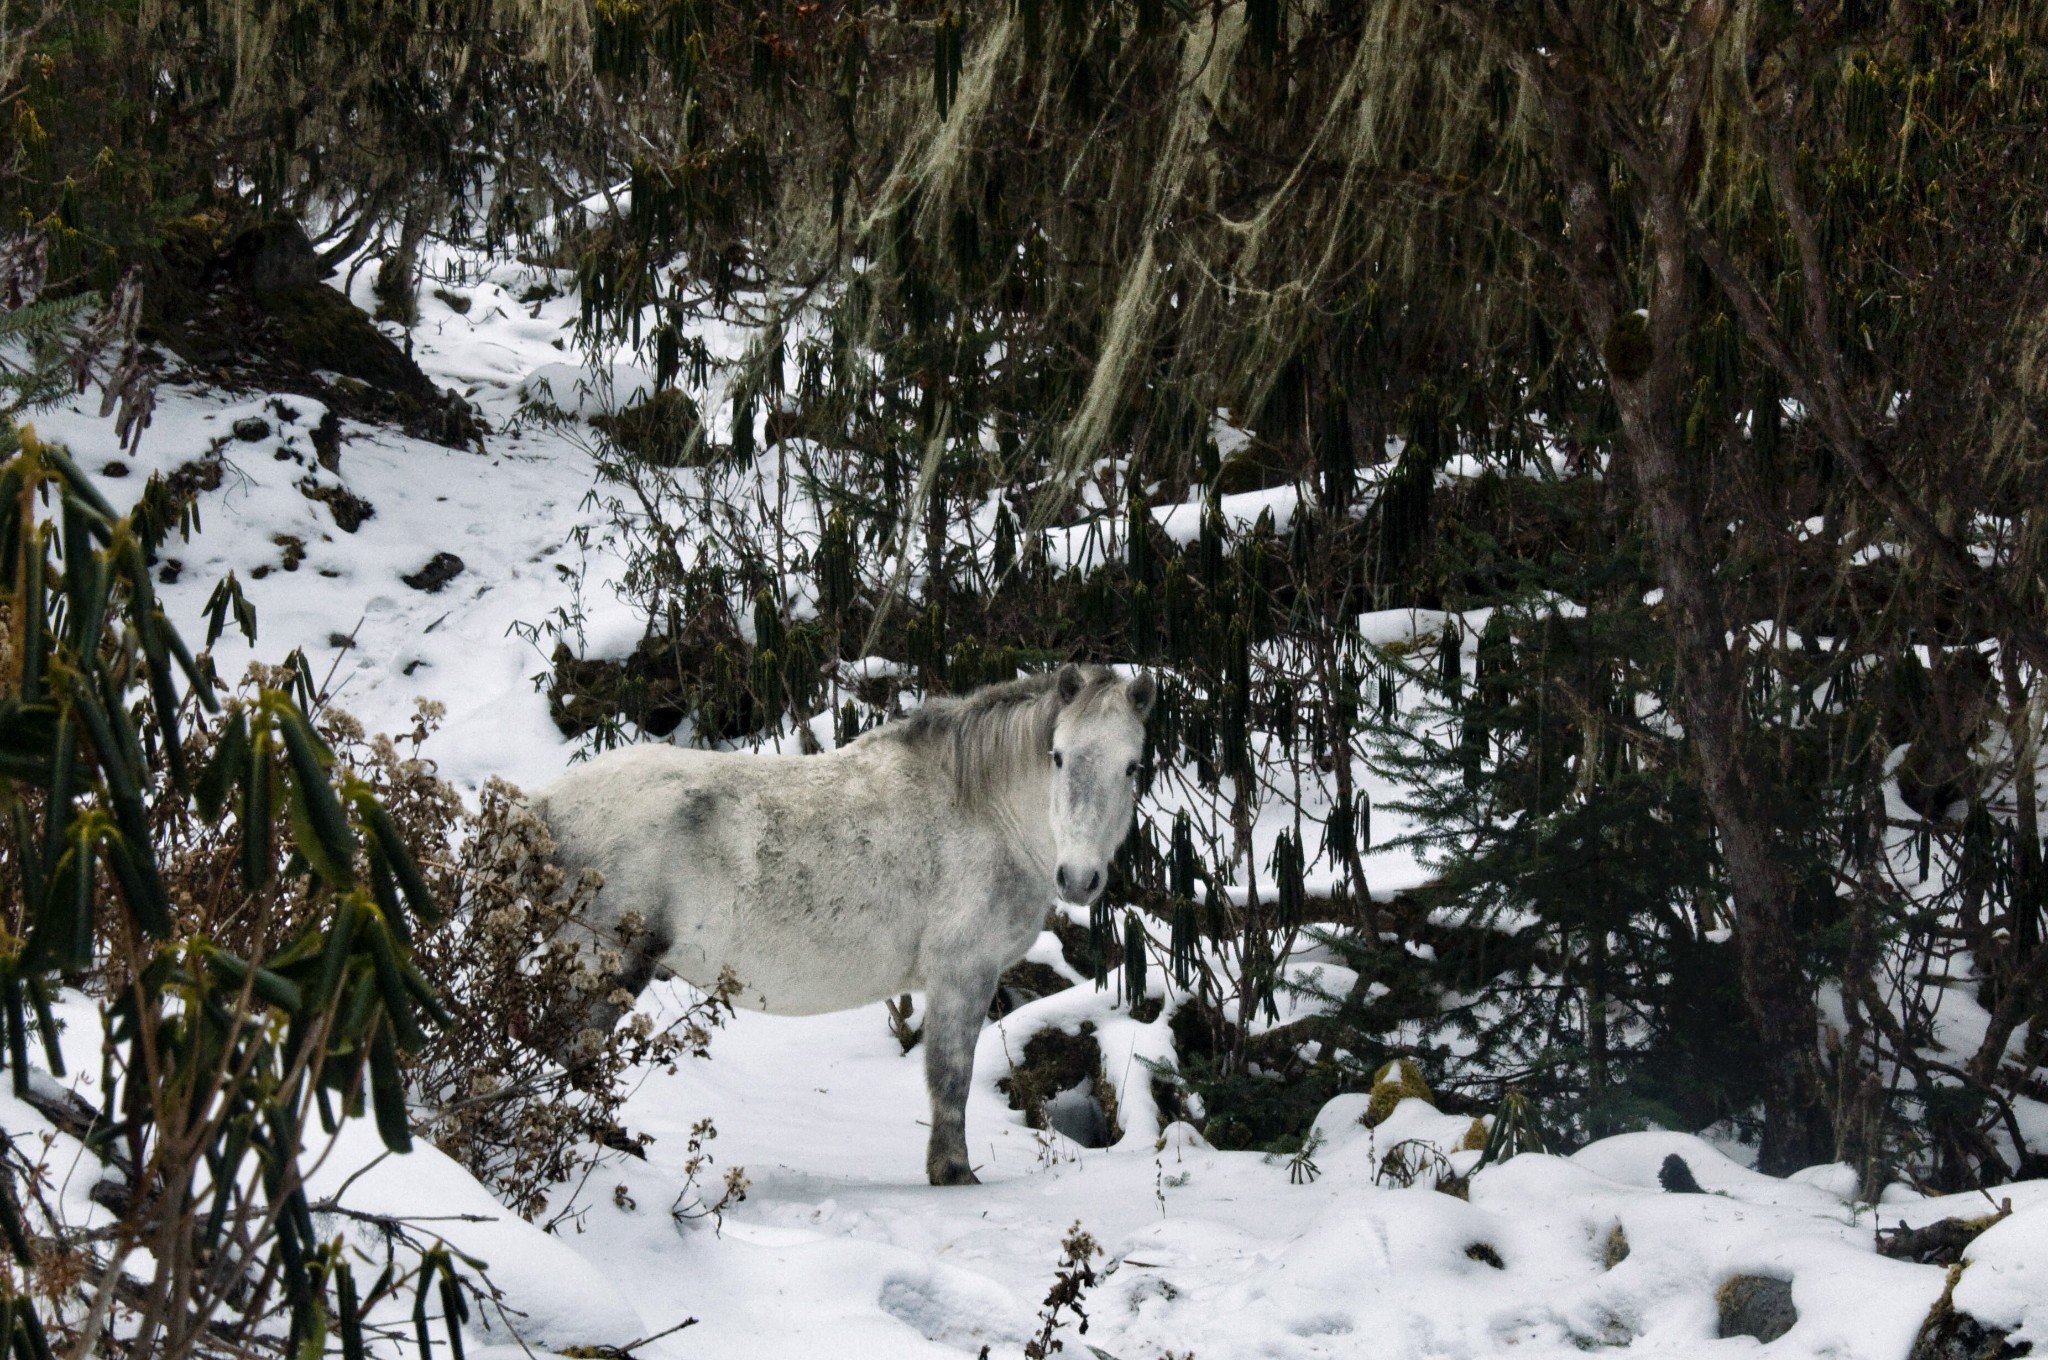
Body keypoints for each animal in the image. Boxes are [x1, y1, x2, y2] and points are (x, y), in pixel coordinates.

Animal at [532, 663, 1155, 1187]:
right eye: (1058, 757)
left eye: (1131, 766)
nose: (1078, 878)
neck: (984, 814)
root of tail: (543, 804)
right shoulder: (962, 973)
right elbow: (950, 1077)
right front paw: (954, 1173)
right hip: (607, 964)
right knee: (563, 1049)